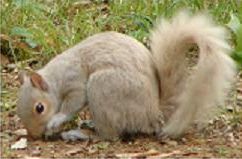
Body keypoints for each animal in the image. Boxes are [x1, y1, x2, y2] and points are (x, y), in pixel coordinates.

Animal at [17, 11, 236, 140]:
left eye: (39, 108)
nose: (35, 135)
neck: (56, 77)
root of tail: (153, 113)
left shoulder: (75, 81)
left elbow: (73, 103)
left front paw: (56, 121)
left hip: (102, 86)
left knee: (110, 136)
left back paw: (83, 134)